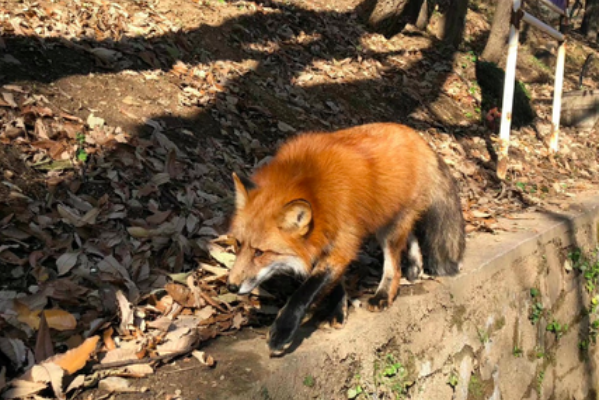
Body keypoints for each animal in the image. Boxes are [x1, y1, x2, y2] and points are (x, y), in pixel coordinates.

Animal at [227, 122, 466, 356]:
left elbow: (306, 291)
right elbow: (334, 282)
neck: (315, 189)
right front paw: (337, 311)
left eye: (260, 252)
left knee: (394, 266)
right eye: (238, 244)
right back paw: (415, 266)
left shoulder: (343, 241)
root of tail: (418, 138)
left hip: (389, 229)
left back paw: (383, 295)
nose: (230, 286)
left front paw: (282, 332)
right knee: (412, 234)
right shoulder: (324, 242)